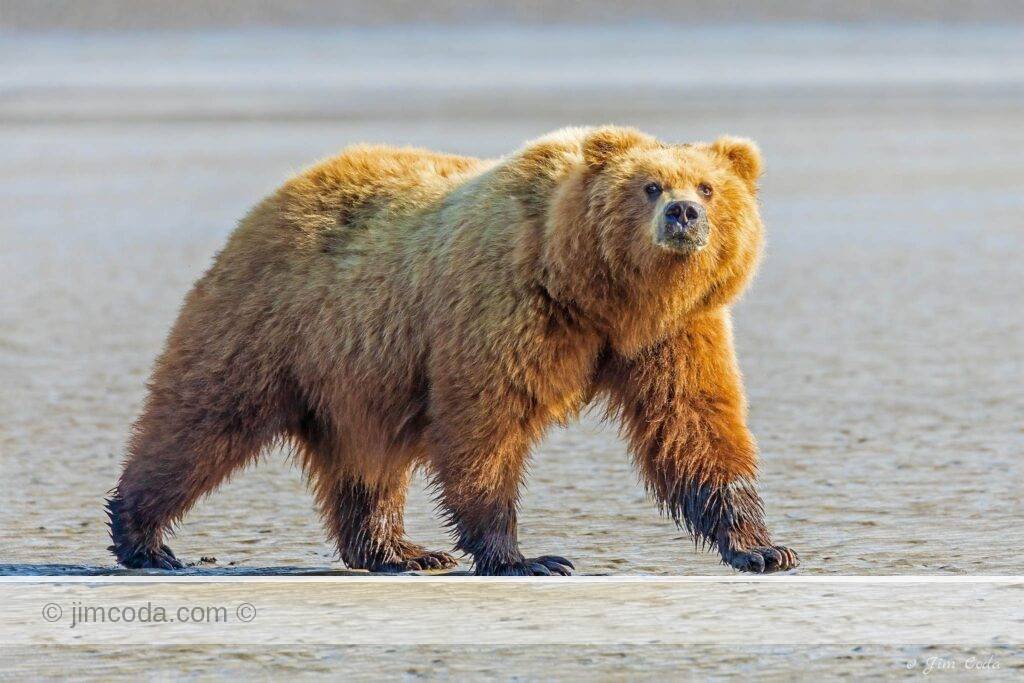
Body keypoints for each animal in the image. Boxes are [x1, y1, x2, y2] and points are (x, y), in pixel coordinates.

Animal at [106, 126, 798, 575]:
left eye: (707, 187)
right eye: (651, 186)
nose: (683, 214)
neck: (601, 296)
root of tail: (276, 196)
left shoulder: (677, 333)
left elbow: (694, 425)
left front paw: (764, 547)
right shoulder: (507, 306)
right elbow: (485, 424)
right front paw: (527, 556)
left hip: (360, 375)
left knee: (367, 462)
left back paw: (400, 552)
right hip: (274, 324)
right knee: (199, 422)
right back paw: (145, 539)